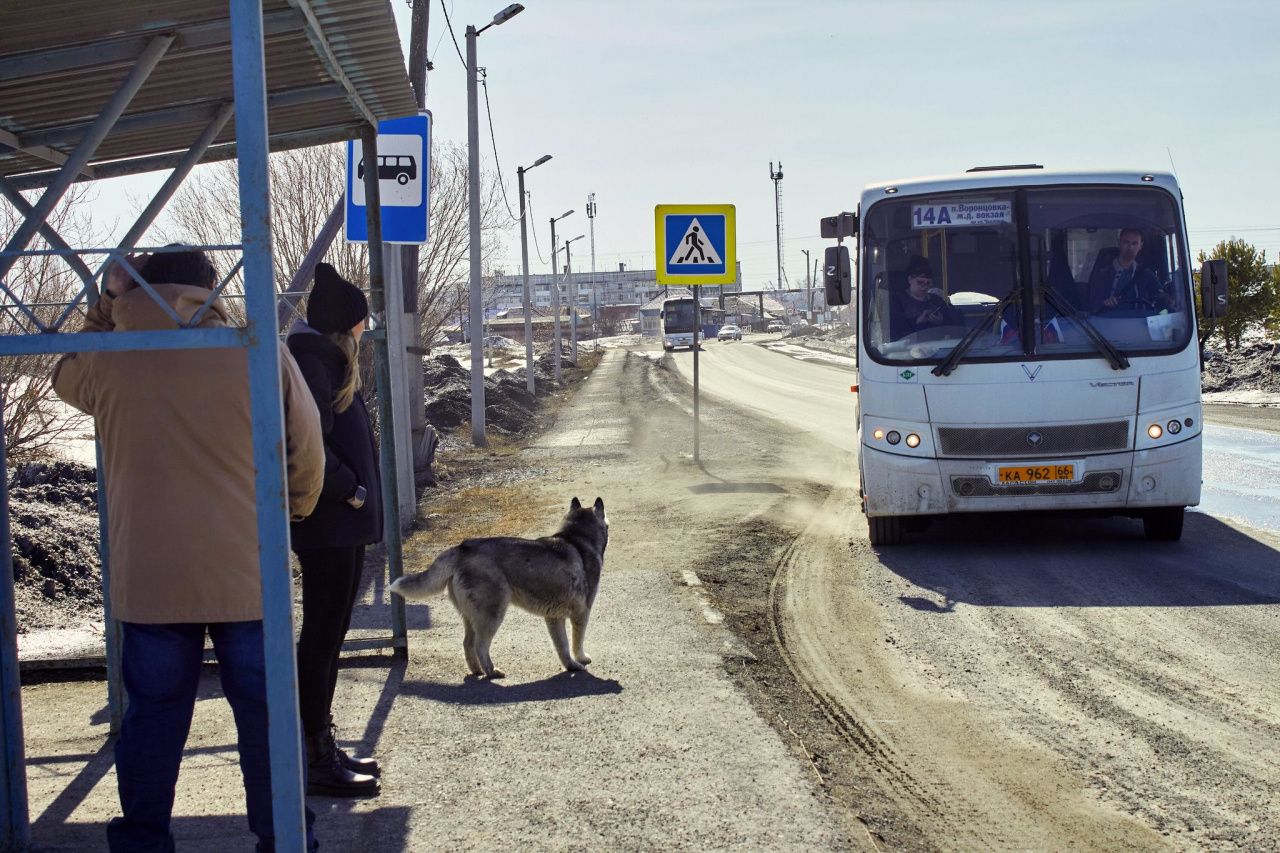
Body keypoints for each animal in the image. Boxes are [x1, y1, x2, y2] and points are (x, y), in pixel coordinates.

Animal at [386, 494, 606, 676]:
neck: (577, 539)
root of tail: (462, 548)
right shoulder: (582, 612)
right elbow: (576, 642)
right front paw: (581, 660)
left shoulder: (554, 617)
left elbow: (562, 646)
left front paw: (570, 665)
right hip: (492, 614)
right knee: (480, 646)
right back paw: (491, 671)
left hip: (471, 617)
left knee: (467, 644)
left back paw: (476, 670)